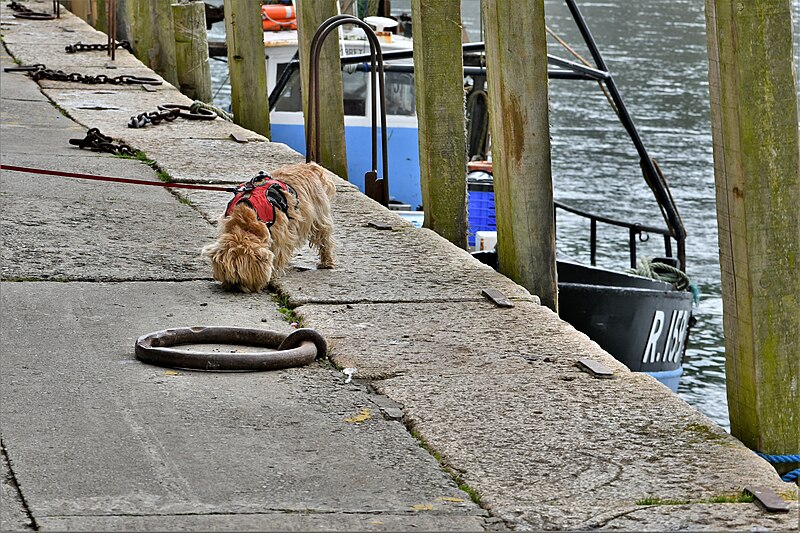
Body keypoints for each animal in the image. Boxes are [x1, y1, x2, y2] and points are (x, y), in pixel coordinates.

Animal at [203, 162, 338, 294]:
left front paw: (272, 274)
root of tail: (310, 166)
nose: (234, 287)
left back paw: (327, 262)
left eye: (239, 278)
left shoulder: (280, 235)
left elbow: (278, 253)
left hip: (319, 213)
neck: (246, 222)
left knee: (324, 237)